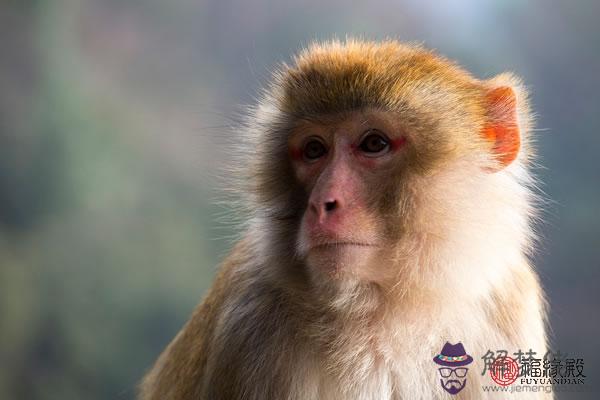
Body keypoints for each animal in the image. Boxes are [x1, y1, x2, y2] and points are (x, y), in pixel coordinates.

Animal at [138, 38, 552, 400]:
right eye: (313, 150)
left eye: (374, 144)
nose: (323, 203)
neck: (382, 312)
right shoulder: (247, 327)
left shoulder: (509, 312)